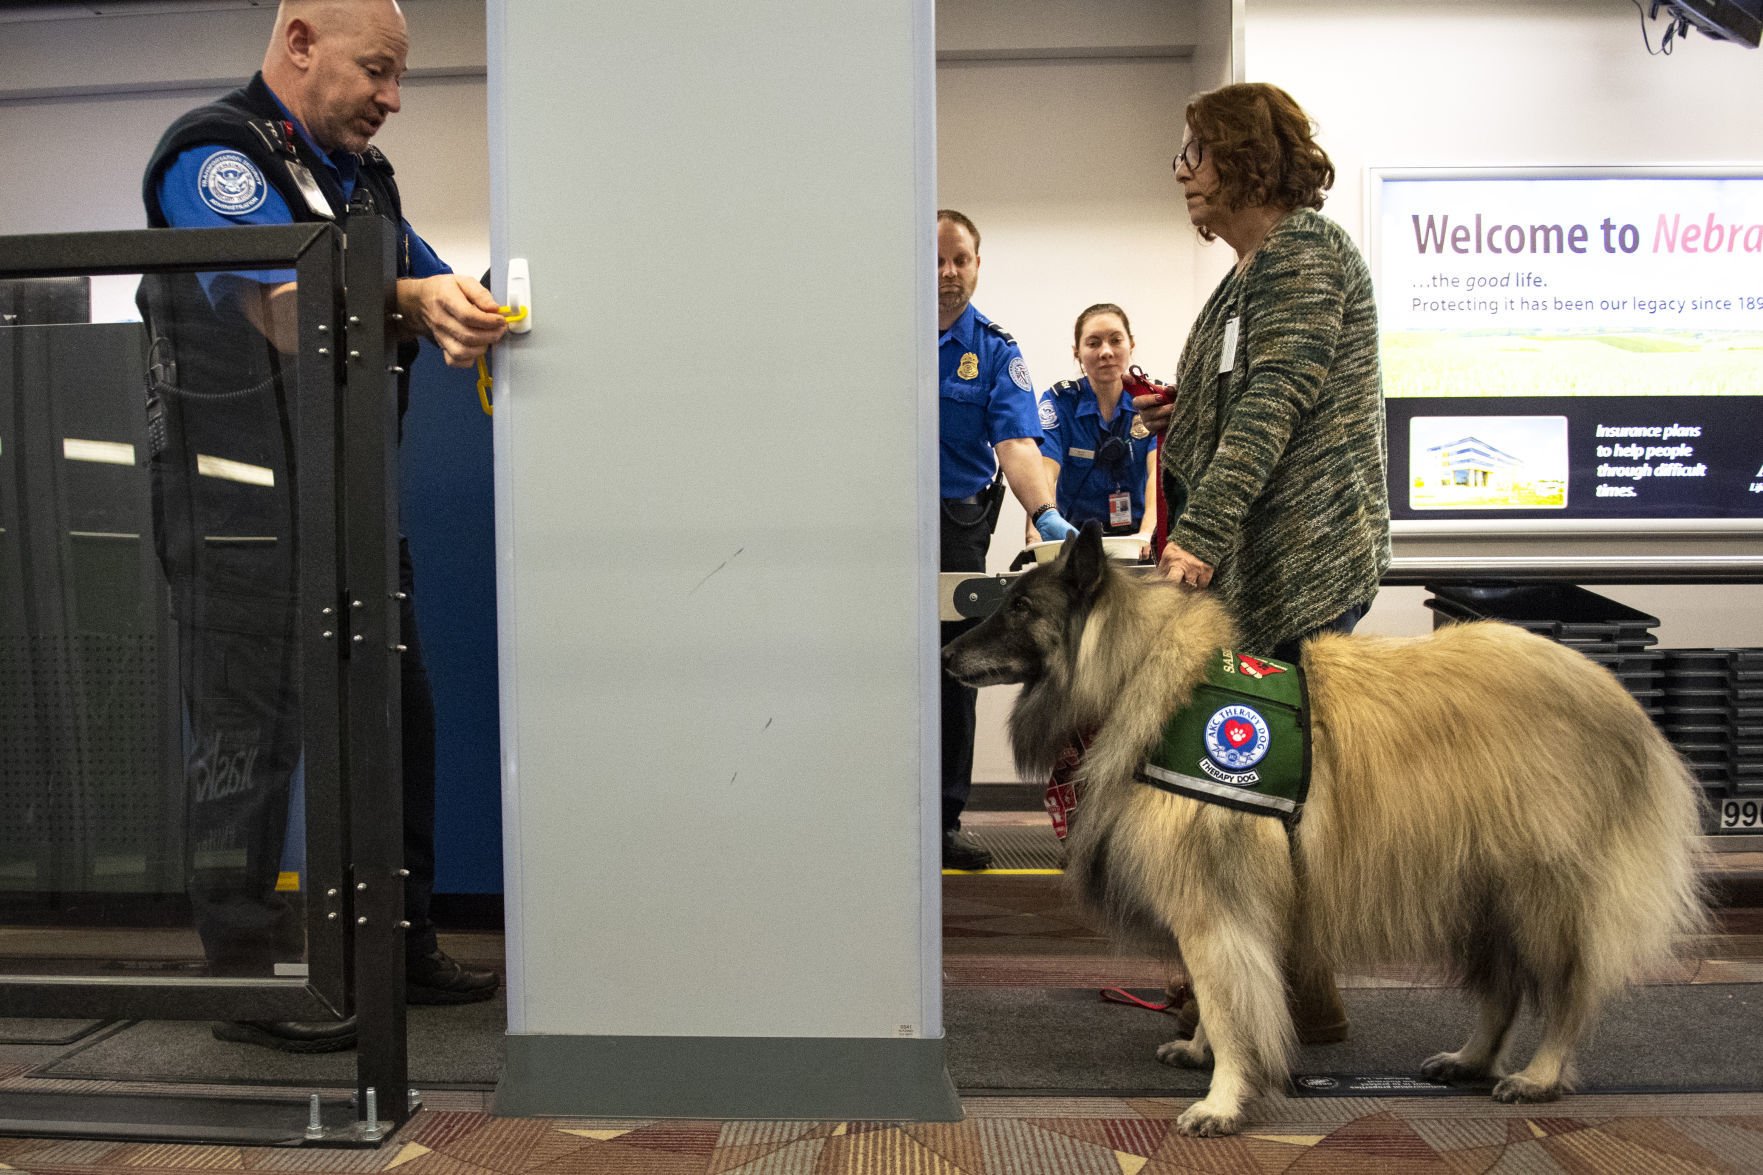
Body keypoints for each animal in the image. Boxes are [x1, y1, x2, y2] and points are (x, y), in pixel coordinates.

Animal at [952, 522, 1706, 1136]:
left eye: (1020, 607)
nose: (948, 657)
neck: (1146, 680)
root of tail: (1618, 698)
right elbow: (1218, 995)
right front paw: (1200, 1052)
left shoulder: (1213, 907)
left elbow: (1226, 1000)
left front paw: (1223, 1098)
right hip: (1477, 890)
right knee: (1503, 988)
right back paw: (1469, 1059)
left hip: (1539, 894)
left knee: (1564, 990)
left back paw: (1539, 1075)